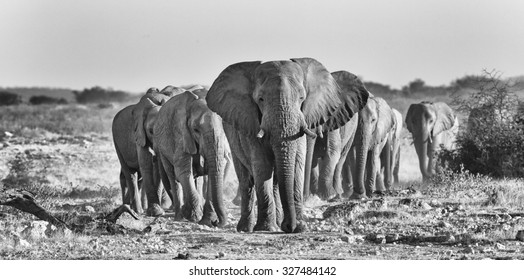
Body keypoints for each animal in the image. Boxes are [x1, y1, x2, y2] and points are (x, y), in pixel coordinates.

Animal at [111, 85, 189, 214]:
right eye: (151, 131)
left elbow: (156, 166)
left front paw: (157, 211)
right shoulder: (139, 131)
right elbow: (146, 161)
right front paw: (156, 212)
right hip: (116, 141)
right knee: (130, 173)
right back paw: (137, 210)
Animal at [154, 89, 231, 228]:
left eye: (224, 128)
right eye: (196, 130)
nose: (217, 222)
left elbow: (211, 172)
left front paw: (206, 221)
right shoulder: (181, 133)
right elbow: (183, 171)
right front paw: (192, 216)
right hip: (161, 148)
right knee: (172, 176)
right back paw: (179, 217)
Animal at [302, 71, 368, 200]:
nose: (305, 197)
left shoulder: (334, 118)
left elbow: (332, 151)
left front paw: (327, 195)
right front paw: (315, 195)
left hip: (351, 130)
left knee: (341, 158)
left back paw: (337, 194)